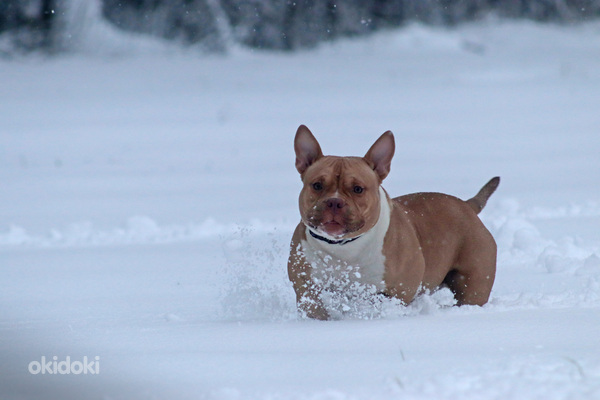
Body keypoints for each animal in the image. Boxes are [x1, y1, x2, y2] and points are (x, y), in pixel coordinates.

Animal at [288, 126, 500, 320]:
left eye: (358, 189)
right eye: (317, 185)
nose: (334, 202)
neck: (343, 247)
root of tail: (468, 205)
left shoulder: (397, 292)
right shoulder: (307, 289)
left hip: (473, 284)